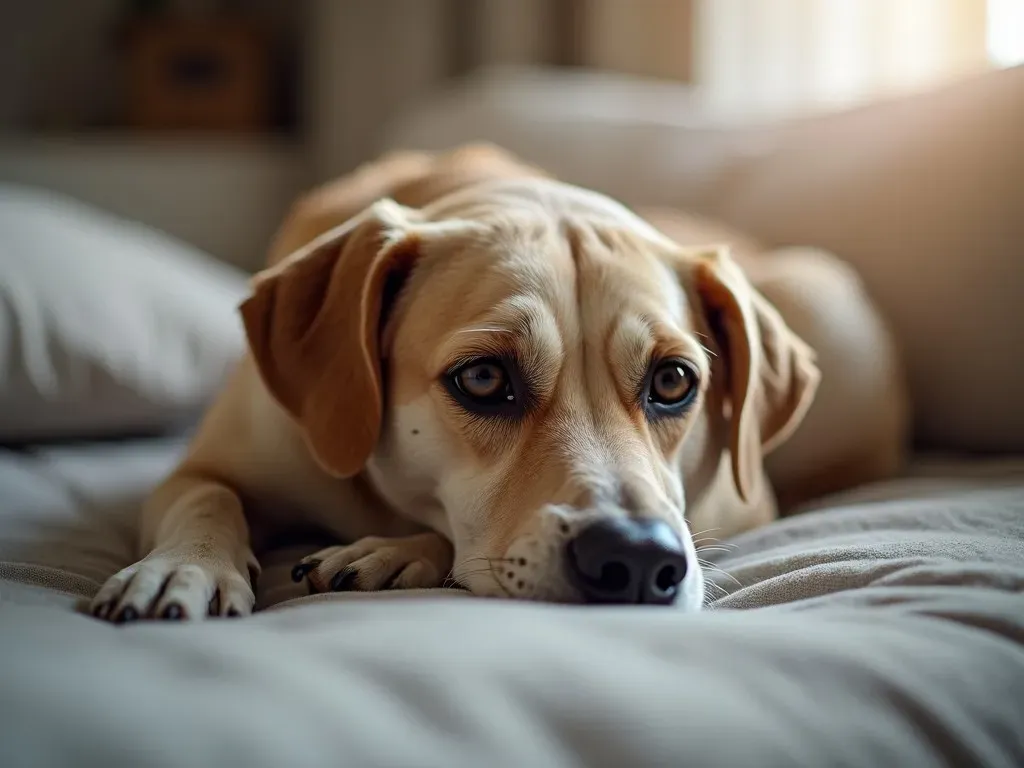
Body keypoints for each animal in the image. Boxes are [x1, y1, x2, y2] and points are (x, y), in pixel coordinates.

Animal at [88, 144, 905, 622]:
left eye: (674, 382)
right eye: (483, 379)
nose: (640, 559)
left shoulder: (732, 507)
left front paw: (394, 551)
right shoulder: (204, 467)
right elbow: (205, 497)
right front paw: (184, 569)